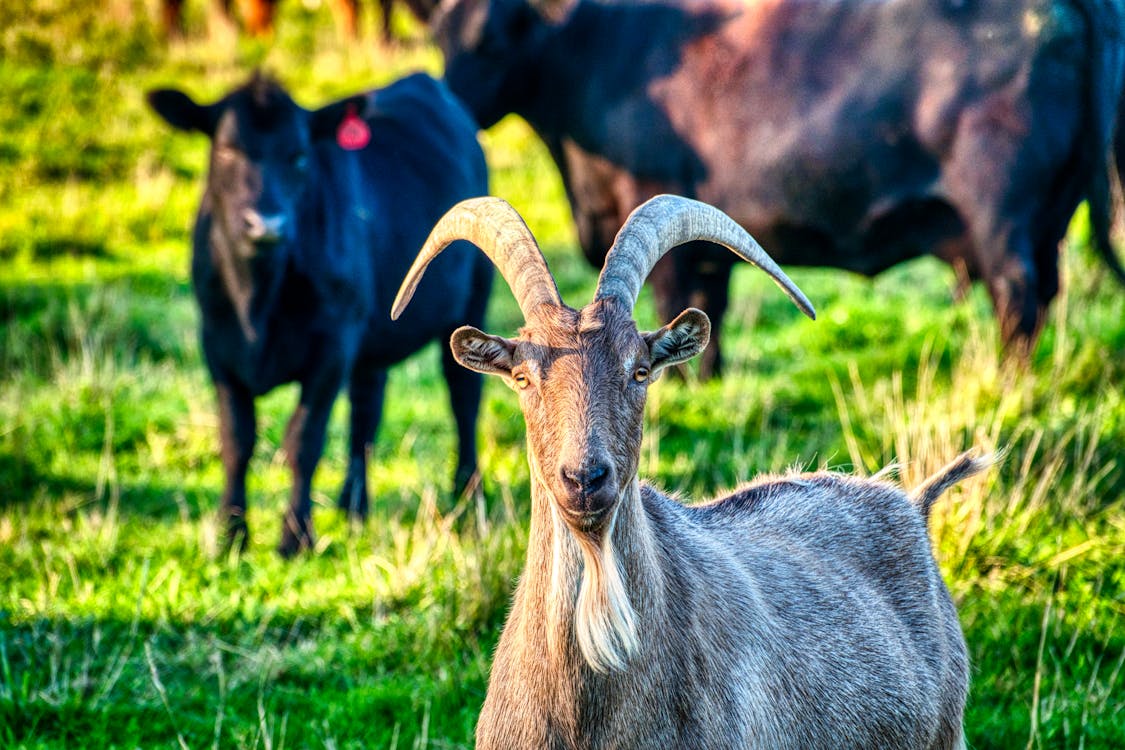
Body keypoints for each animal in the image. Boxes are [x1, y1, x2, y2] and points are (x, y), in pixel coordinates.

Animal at [147, 73, 490, 555]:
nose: (266, 225)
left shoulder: (332, 348)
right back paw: (354, 508)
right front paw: (231, 534)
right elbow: (236, 438)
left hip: (471, 297)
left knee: (464, 398)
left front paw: (295, 538)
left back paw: (467, 502)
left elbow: (304, 439)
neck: (256, 301)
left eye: (300, 157)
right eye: (227, 150)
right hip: (373, 335)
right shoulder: (216, 344)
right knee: (366, 412)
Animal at [427, 0, 1125, 377]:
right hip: (1050, 216)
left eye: (494, 36)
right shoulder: (702, 250)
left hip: (1003, 219)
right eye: (441, 34)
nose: (450, 101)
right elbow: (706, 325)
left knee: (1018, 298)